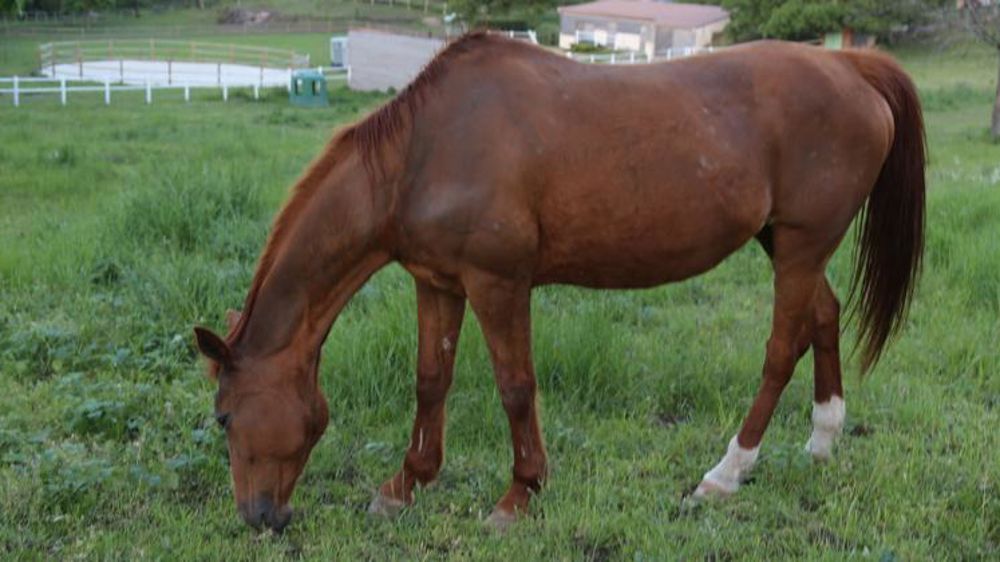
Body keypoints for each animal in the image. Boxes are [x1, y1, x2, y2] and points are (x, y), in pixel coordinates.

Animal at [193, 33, 925, 532]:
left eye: (225, 415)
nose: (259, 516)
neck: (424, 151)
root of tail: (849, 65)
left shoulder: (498, 284)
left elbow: (516, 389)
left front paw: (520, 494)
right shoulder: (439, 284)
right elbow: (431, 381)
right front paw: (406, 484)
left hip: (800, 246)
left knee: (779, 351)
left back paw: (725, 474)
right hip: (787, 245)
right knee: (823, 317)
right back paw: (823, 440)